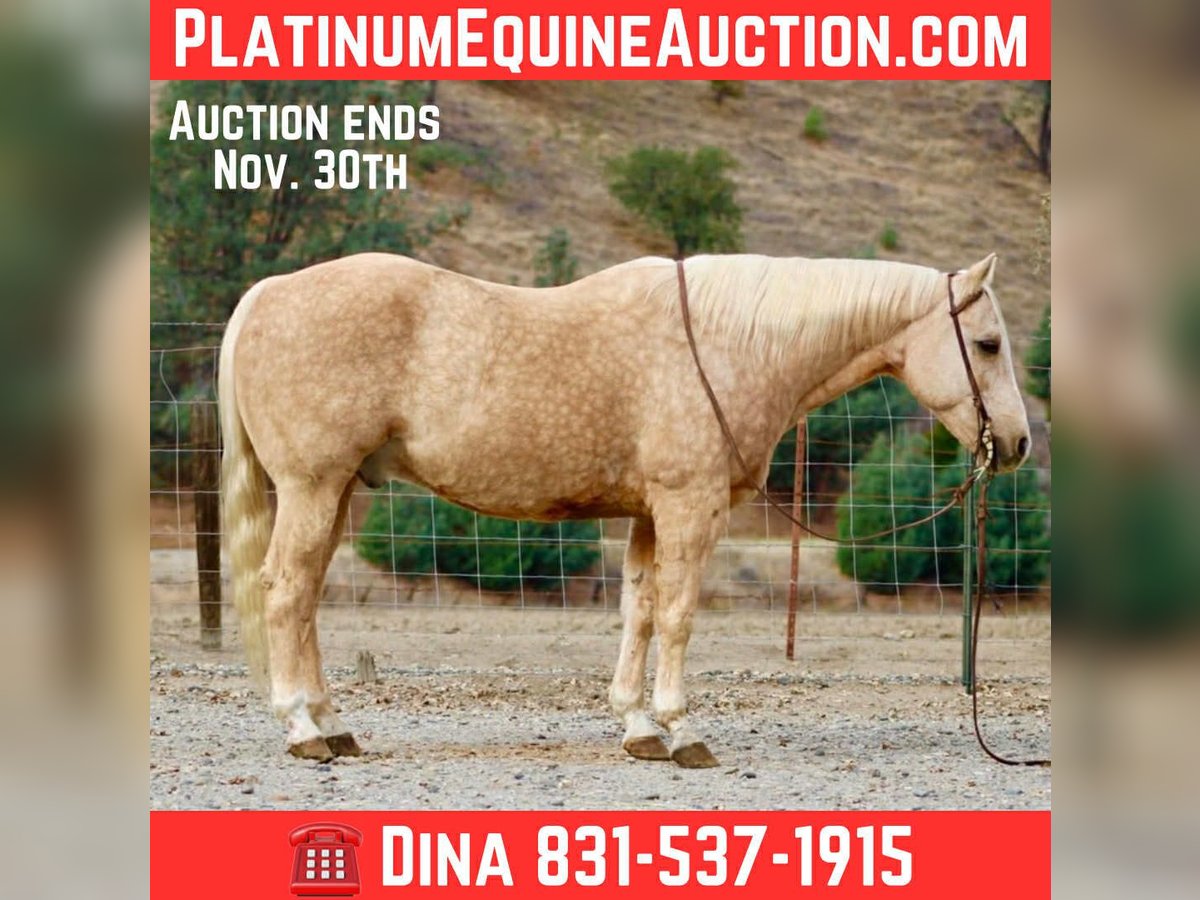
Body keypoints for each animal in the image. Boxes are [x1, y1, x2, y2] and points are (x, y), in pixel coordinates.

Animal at [218, 252, 1031, 767]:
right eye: (988, 343)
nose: (1018, 443)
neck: (730, 345)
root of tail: (267, 292)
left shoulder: (648, 513)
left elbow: (638, 609)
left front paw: (638, 727)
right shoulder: (689, 508)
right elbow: (677, 616)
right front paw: (680, 730)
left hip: (334, 492)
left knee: (307, 598)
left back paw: (333, 724)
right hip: (313, 486)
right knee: (286, 593)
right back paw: (302, 729)